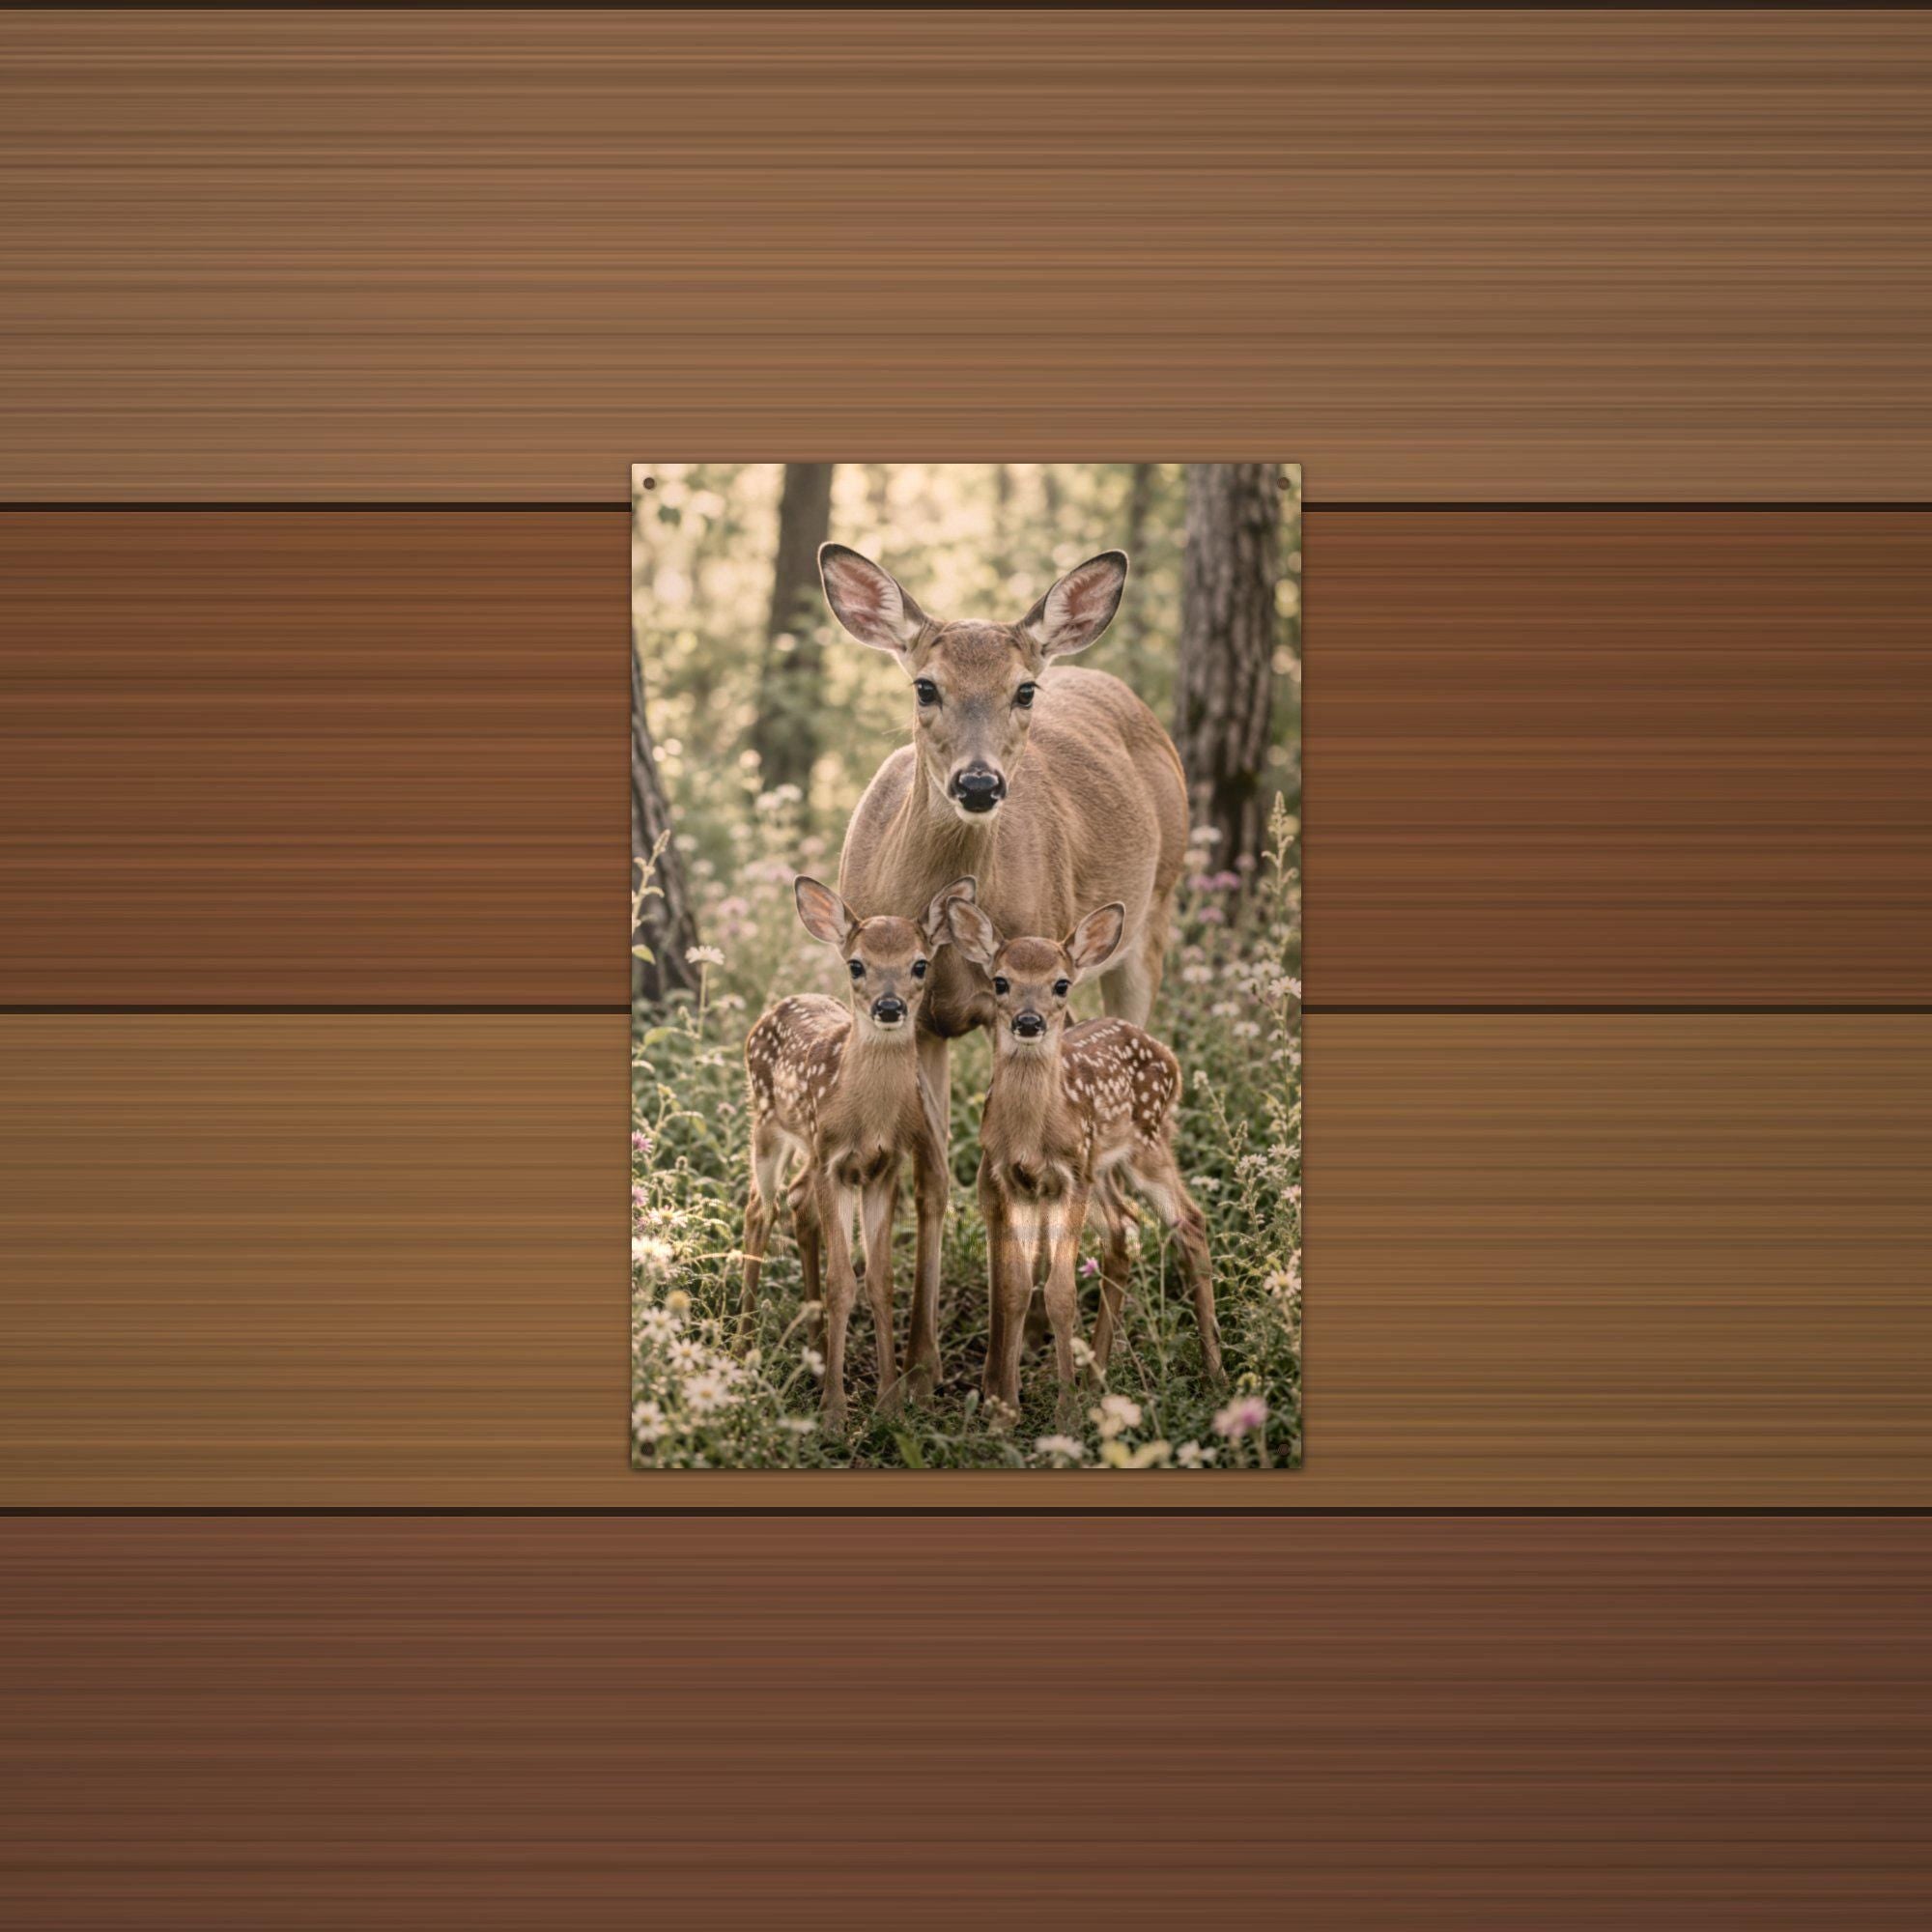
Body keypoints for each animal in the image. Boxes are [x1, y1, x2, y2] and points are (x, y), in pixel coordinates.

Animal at [740, 873, 975, 1431]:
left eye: (920, 963)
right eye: (856, 964)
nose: (888, 1008)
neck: (866, 1116)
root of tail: (777, 1005)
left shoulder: (881, 1168)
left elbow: (880, 1280)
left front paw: (889, 1403)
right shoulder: (834, 1164)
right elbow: (842, 1282)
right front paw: (833, 1413)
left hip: (807, 1145)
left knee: (796, 1203)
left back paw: (814, 1350)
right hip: (768, 1126)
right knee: (759, 1208)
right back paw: (740, 1348)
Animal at [819, 542, 1189, 1398]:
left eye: (1023, 689)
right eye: (925, 685)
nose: (980, 783)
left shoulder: (1006, 1005)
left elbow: (997, 1184)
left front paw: (995, 1372)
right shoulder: (917, 1018)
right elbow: (933, 1180)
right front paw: (918, 1367)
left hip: (1152, 916)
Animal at [945, 896, 1225, 1427]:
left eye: (1061, 984)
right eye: (1000, 981)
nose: (1028, 1022)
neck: (1031, 1133)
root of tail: (1169, 1056)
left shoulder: (1067, 1178)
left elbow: (1060, 1293)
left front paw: (1066, 1414)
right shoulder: (1015, 1182)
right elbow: (1015, 1288)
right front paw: (1004, 1415)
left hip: (1144, 1145)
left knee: (1189, 1220)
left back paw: (1214, 1372)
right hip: (1099, 1172)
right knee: (1125, 1228)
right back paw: (1098, 1376)